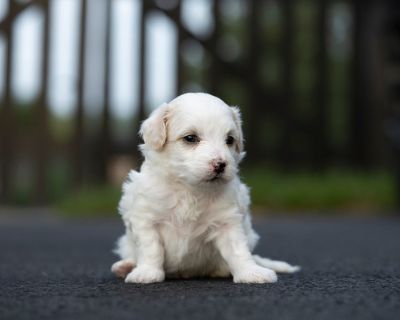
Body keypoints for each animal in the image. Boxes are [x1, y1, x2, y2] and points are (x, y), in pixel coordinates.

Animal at [111, 92, 298, 282]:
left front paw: (250, 272)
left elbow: (239, 250)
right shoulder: (146, 218)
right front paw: (147, 272)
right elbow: (151, 248)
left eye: (229, 140)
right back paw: (126, 266)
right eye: (190, 138)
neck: (190, 189)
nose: (220, 164)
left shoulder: (227, 221)